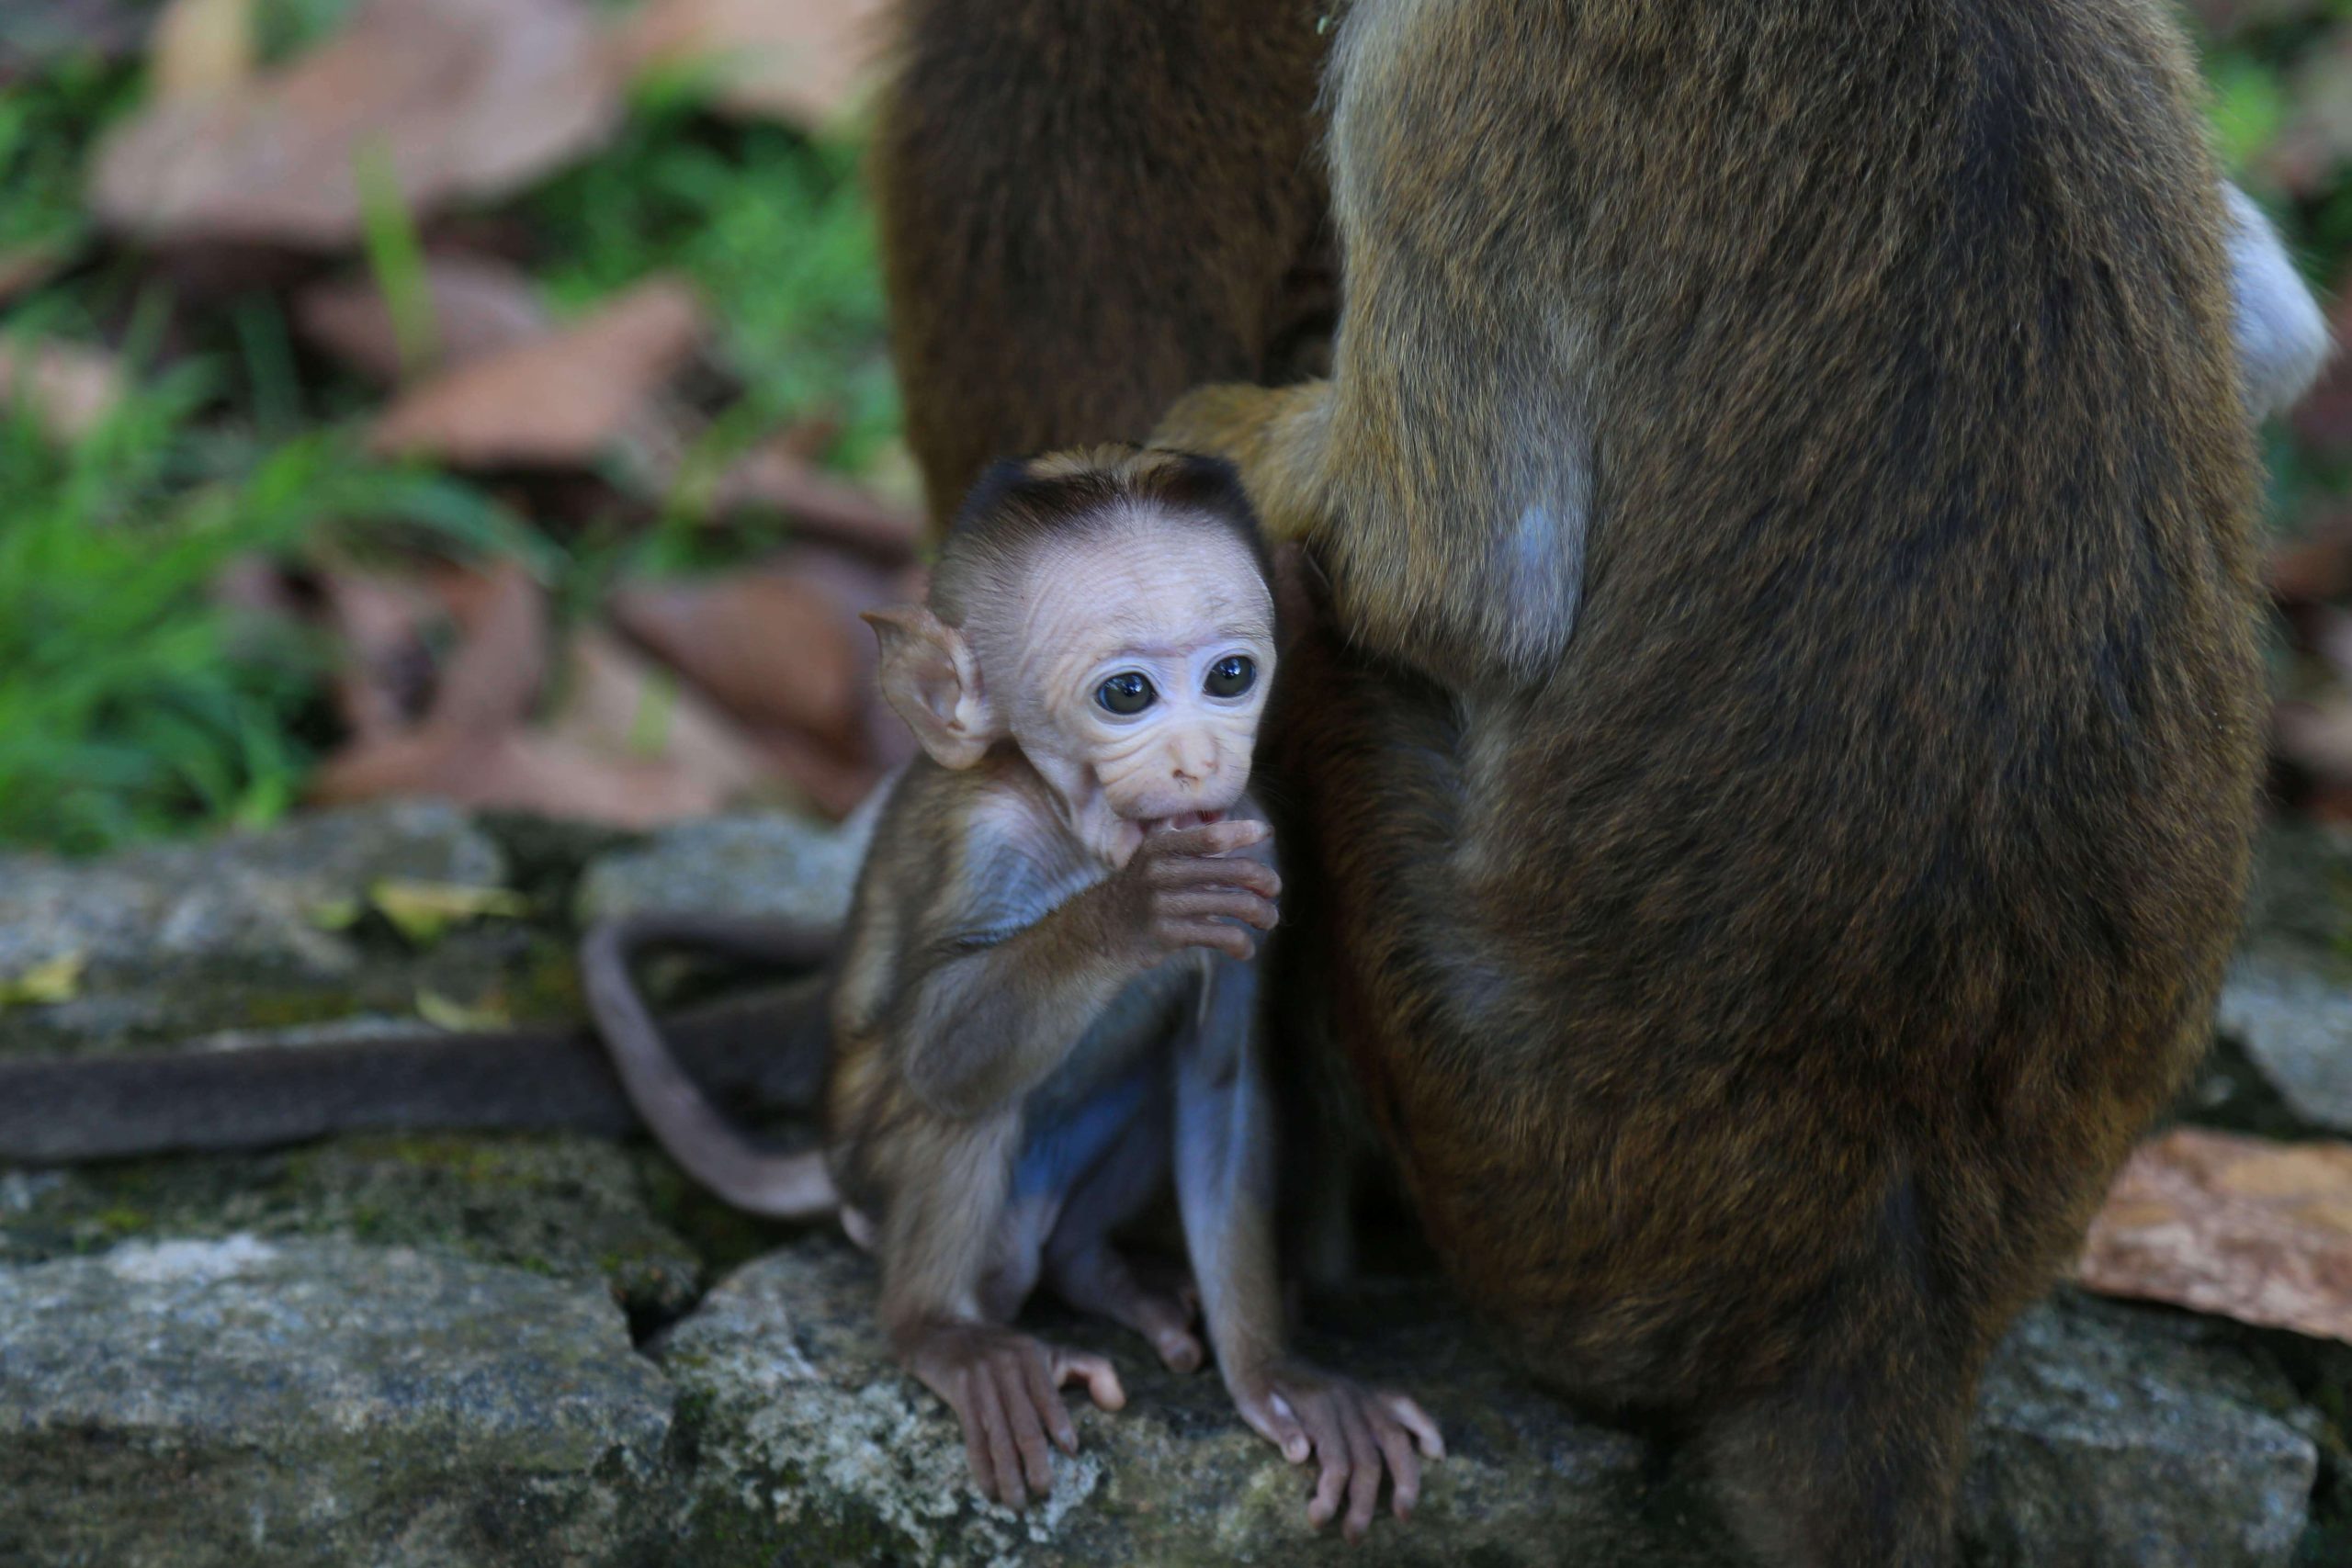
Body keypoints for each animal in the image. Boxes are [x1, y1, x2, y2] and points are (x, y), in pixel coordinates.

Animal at [865, 2, 2294, 1563]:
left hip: (1505, 1159)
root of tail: (1889, 1317)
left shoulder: (1443, 64)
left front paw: (1203, 441)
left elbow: (1447, 590)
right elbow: (2282, 336)